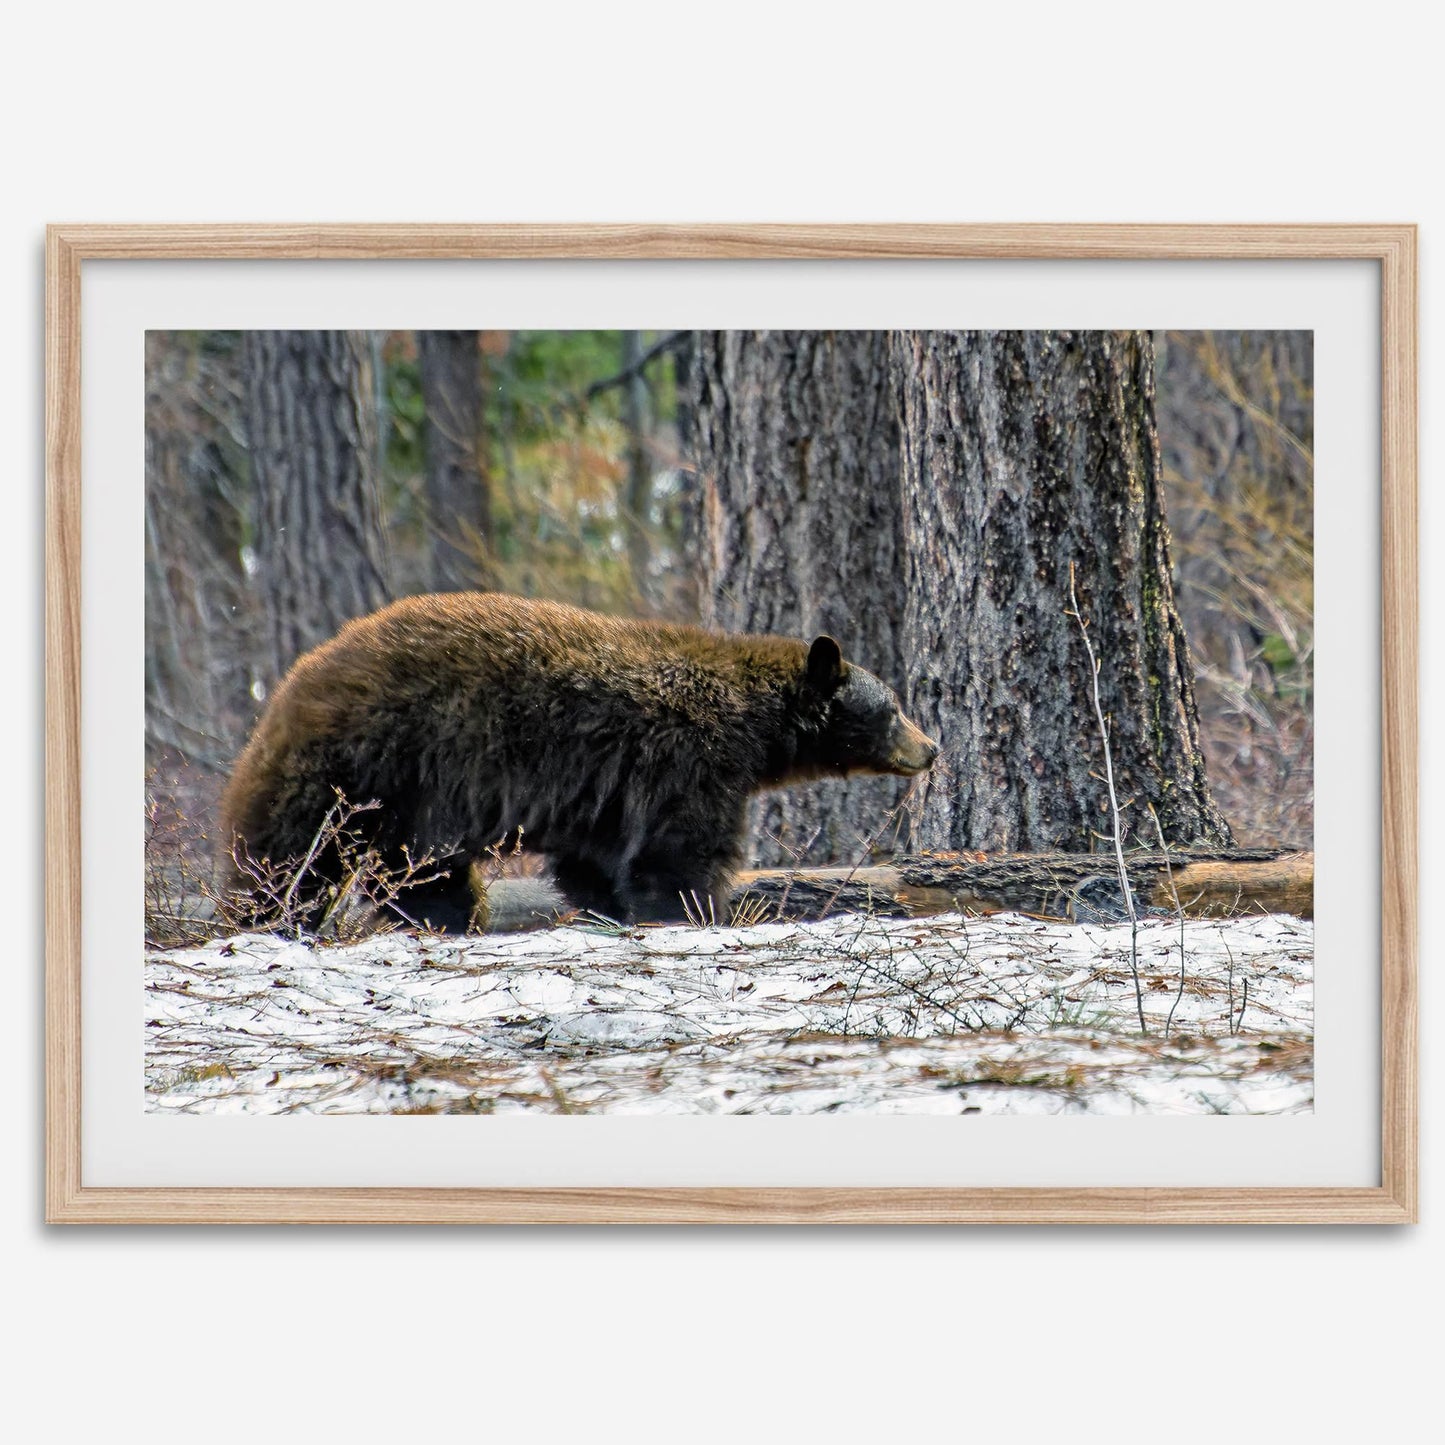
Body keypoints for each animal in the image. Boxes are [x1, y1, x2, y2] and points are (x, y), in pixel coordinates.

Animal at [219, 592, 938, 930]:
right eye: (893, 707)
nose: (930, 748)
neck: (753, 726)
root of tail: (287, 688)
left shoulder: (604, 791)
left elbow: (595, 861)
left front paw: (610, 907)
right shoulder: (686, 760)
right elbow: (679, 852)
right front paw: (697, 909)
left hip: (401, 802)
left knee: (421, 873)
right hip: (365, 767)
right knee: (290, 859)